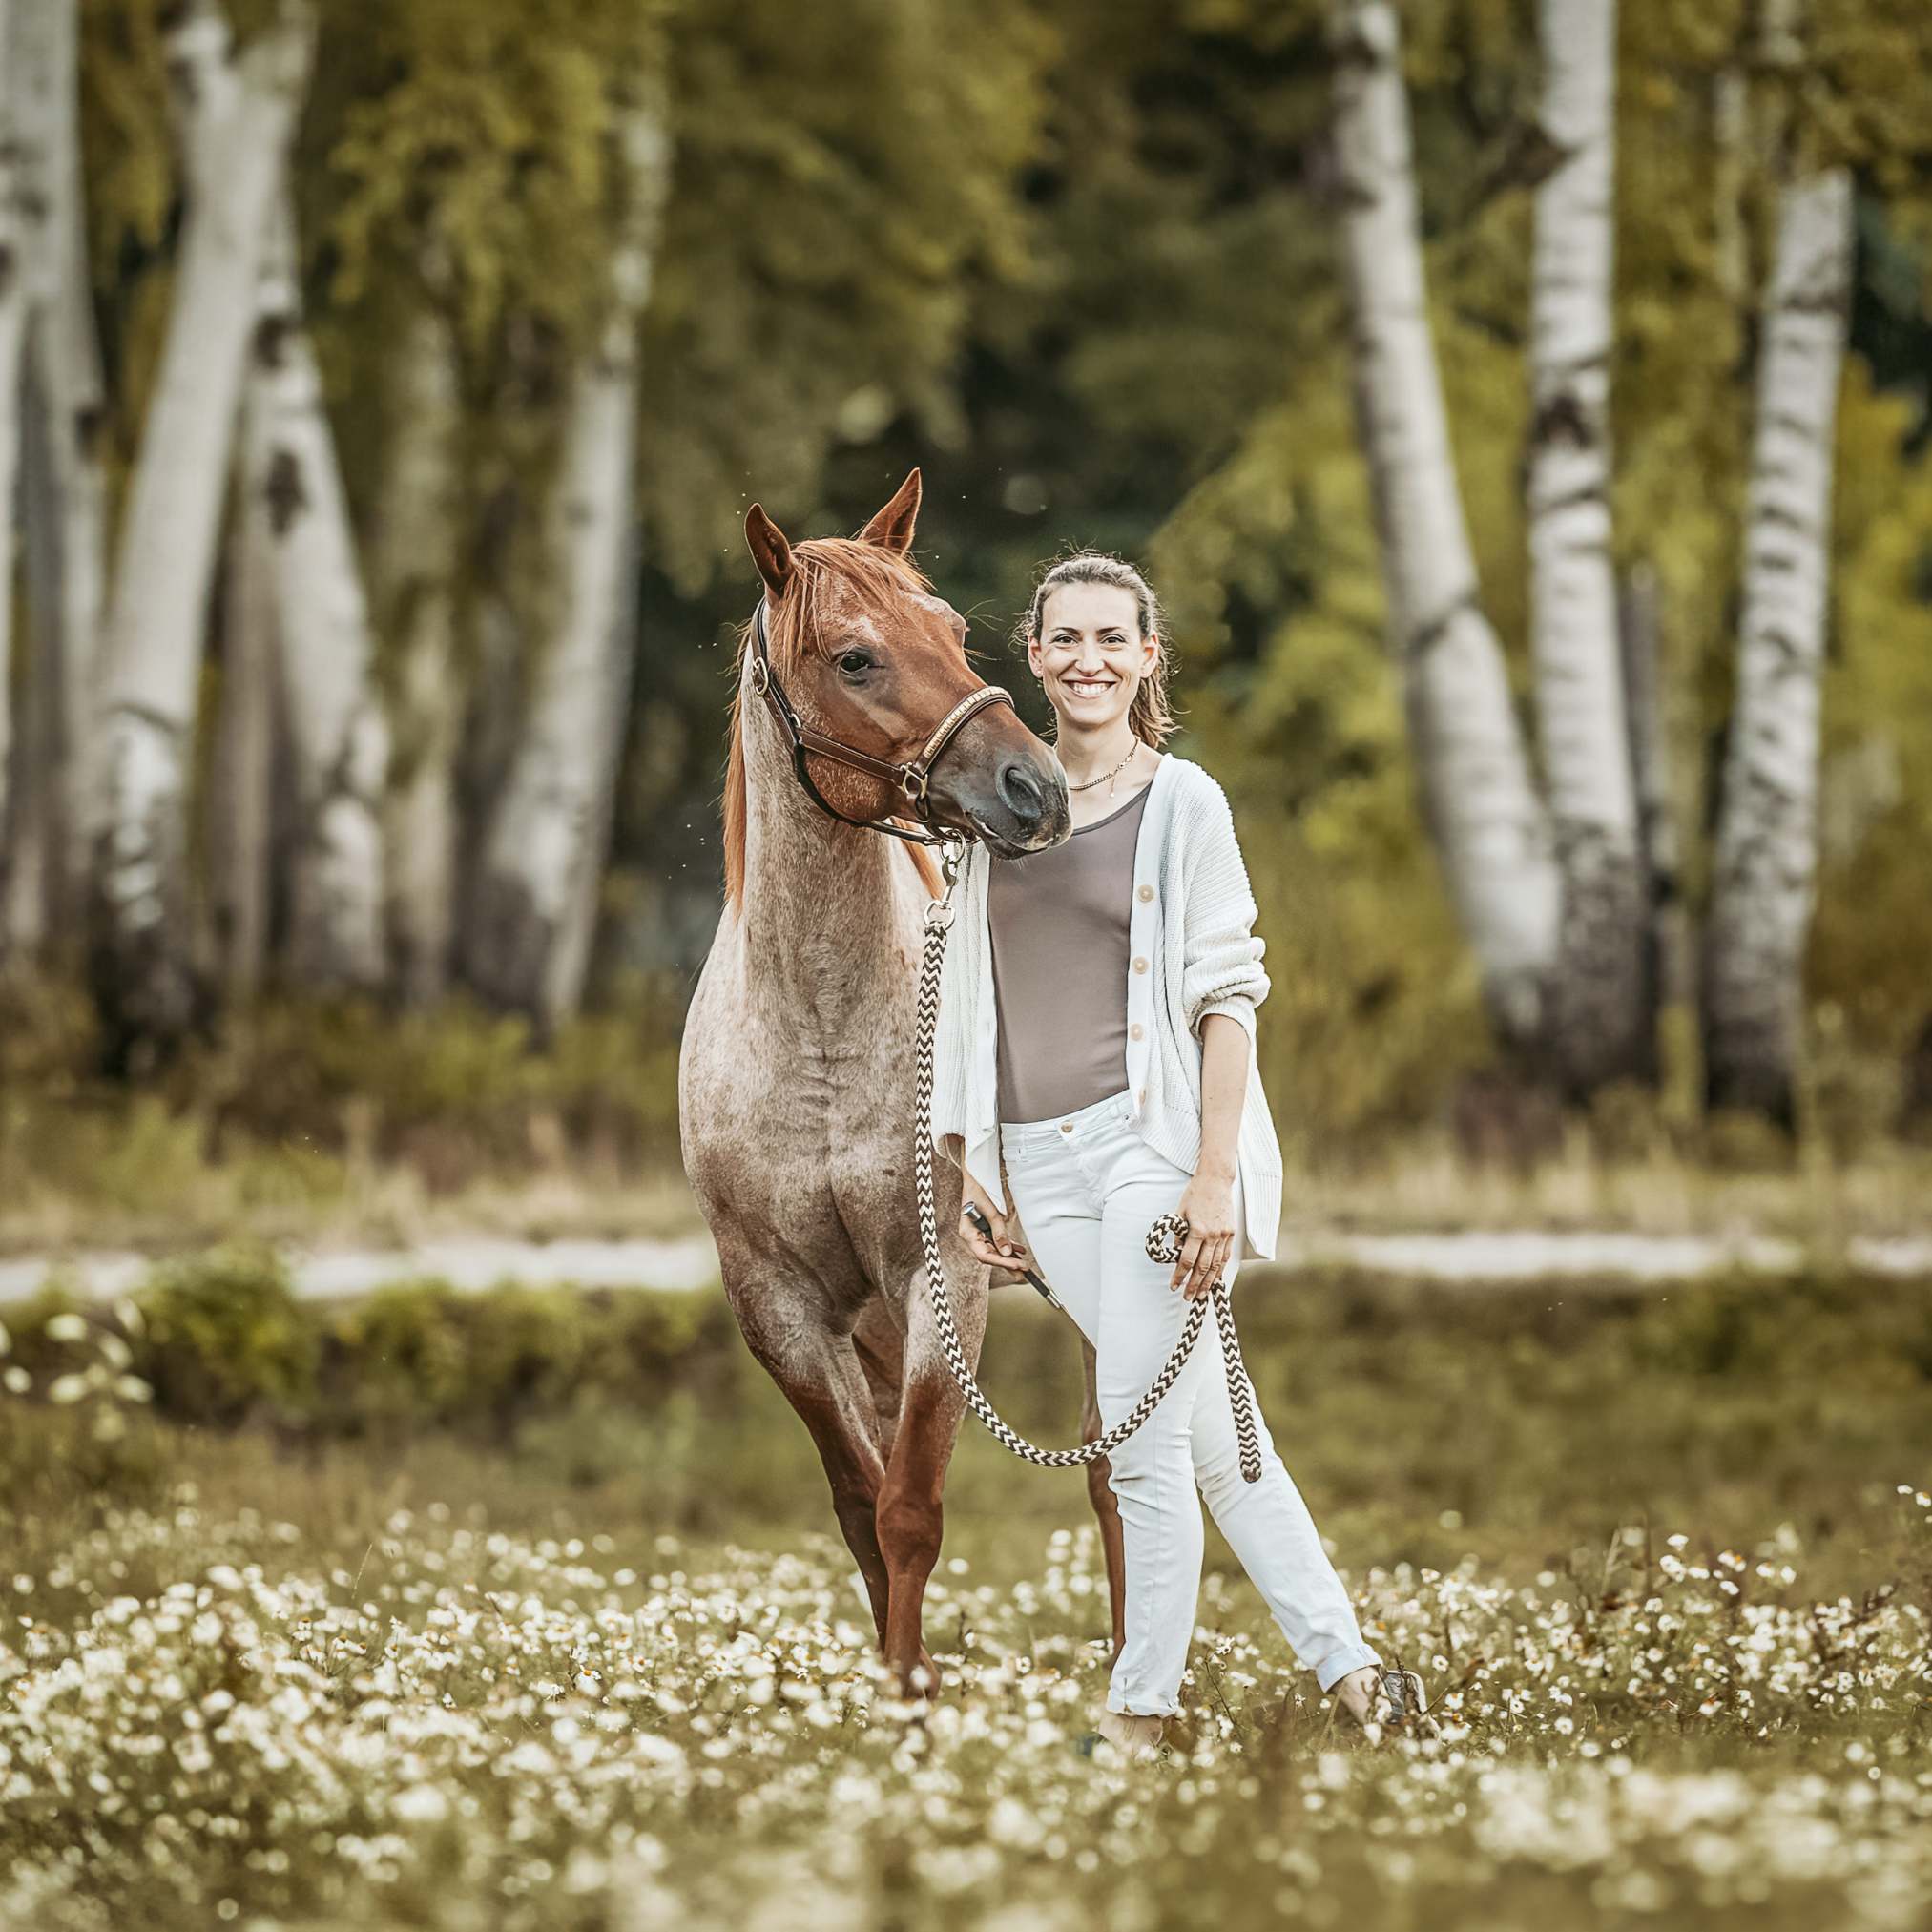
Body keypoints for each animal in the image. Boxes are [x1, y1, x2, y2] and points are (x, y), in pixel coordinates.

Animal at [679, 475, 1128, 1700]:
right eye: (855, 658)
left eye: (953, 630)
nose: (1035, 789)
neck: (821, 1034)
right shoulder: (781, 1310)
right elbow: (859, 1501)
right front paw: (898, 1685)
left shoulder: (945, 1286)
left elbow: (912, 1507)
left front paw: (914, 1701)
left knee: (1119, 1477)